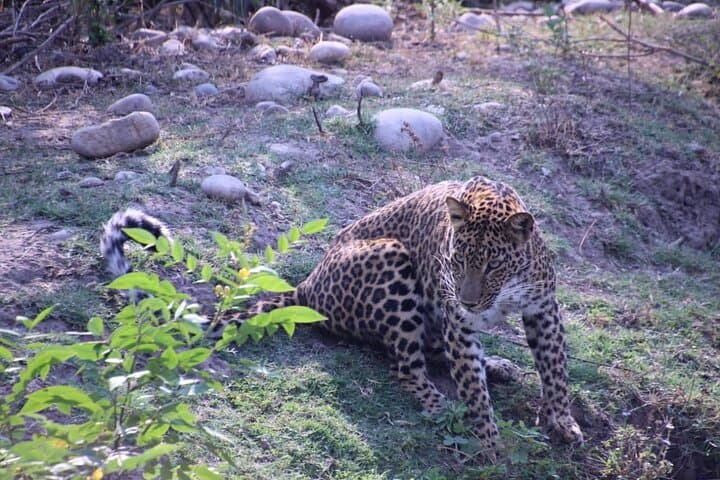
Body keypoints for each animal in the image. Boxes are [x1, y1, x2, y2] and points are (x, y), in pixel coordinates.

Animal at [100, 176, 583, 455]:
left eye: (493, 265)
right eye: (457, 260)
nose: (468, 301)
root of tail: (307, 286)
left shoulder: (543, 307)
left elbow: (556, 368)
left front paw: (563, 421)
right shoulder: (459, 323)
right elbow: (473, 389)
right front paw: (490, 443)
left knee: (430, 353)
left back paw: (498, 366)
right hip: (393, 259)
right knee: (405, 367)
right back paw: (442, 406)